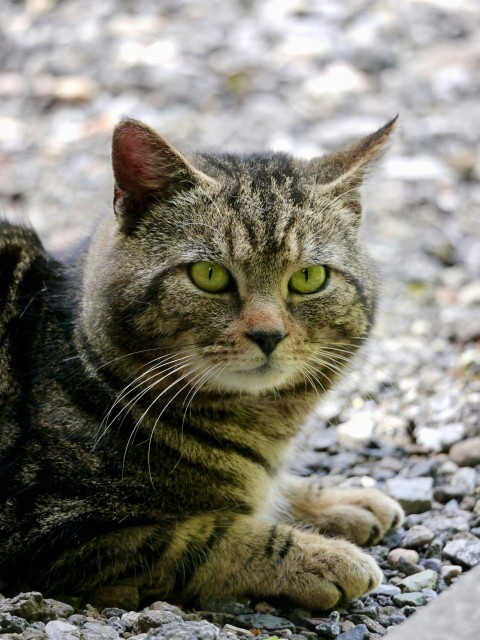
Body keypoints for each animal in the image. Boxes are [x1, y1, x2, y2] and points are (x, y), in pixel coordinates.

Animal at [0, 117, 404, 612]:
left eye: (310, 278)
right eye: (209, 276)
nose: (268, 334)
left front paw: (337, 500)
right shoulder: (53, 526)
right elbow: (213, 537)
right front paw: (321, 556)